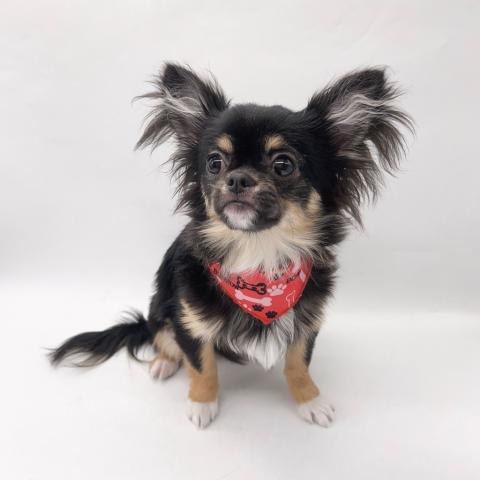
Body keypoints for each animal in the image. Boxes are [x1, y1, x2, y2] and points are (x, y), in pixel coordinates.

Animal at [50, 63, 413, 428]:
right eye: (214, 162)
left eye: (284, 165)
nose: (237, 178)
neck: (259, 257)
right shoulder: (188, 320)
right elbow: (202, 366)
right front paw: (202, 403)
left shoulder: (307, 320)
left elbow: (298, 362)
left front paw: (311, 399)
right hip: (160, 309)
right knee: (161, 339)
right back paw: (164, 362)